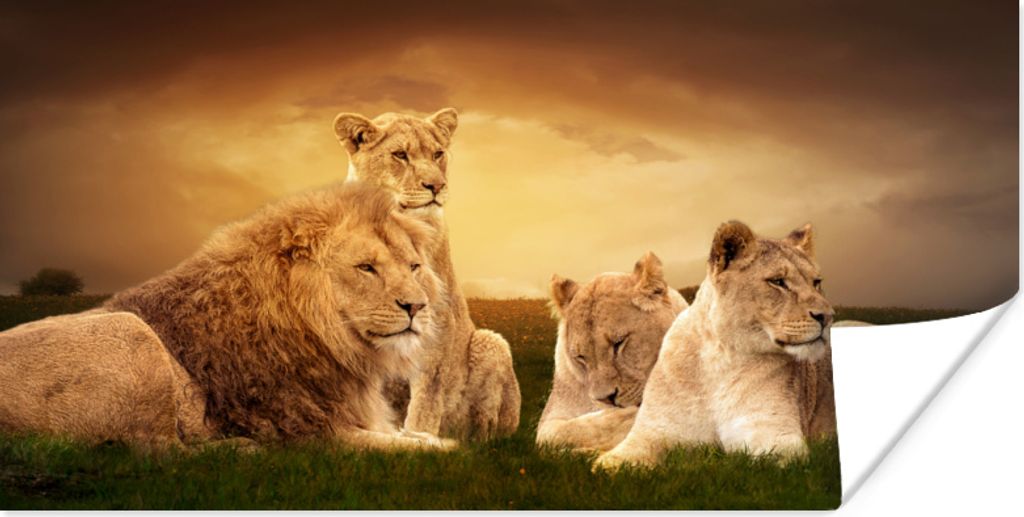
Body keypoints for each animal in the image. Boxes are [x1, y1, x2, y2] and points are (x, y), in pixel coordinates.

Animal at [0, 183, 456, 451]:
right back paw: (240, 448)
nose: (416, 306)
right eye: (366, 268)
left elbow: (417, 435)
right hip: (130, 332)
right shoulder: (311, 432)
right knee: (156, 450)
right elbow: (428, 448)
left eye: (414, 267)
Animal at [333, 108, 520, 439]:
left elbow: (425, 401)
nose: (436, 186)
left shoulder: (437, 327)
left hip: (491, 343)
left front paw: (419, 438)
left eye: (437, 154)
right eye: (400, 155)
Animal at [593, 221, 837, 471]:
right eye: (778, 281)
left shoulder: (775, 435)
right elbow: (612, 462)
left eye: (816, 283)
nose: (827, 316)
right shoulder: (653, 430)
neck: (718, 359)